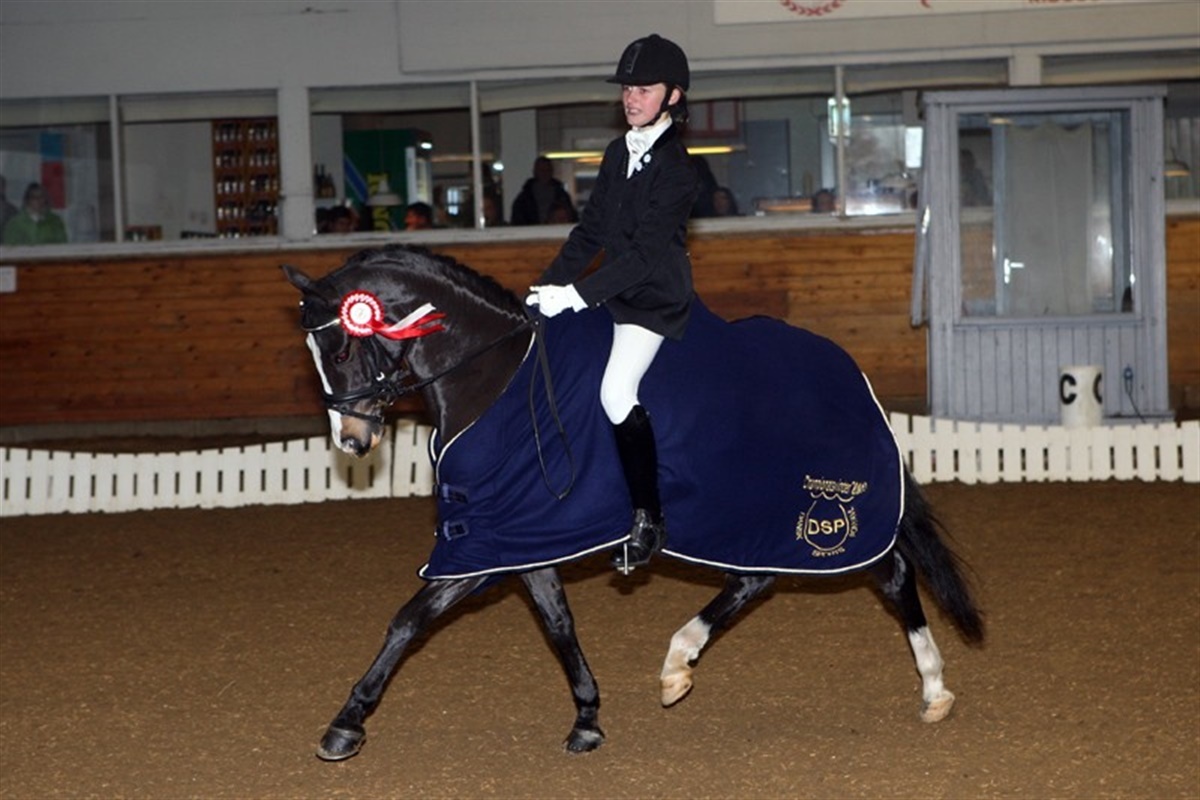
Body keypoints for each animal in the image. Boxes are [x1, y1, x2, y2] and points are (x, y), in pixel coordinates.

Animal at [282, 244, 984, 762]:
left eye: (340, 348)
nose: (353, 440)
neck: (496, 379)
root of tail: (851, 372)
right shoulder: (518, 535)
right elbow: (557, 624)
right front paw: (588, 718)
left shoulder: (484, 545)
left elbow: (408, 620)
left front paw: (344, 726)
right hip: (755, 516)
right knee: (757, 578)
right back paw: (679, 663)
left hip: (814, 516)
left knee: (890, 574)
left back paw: (934, 687)